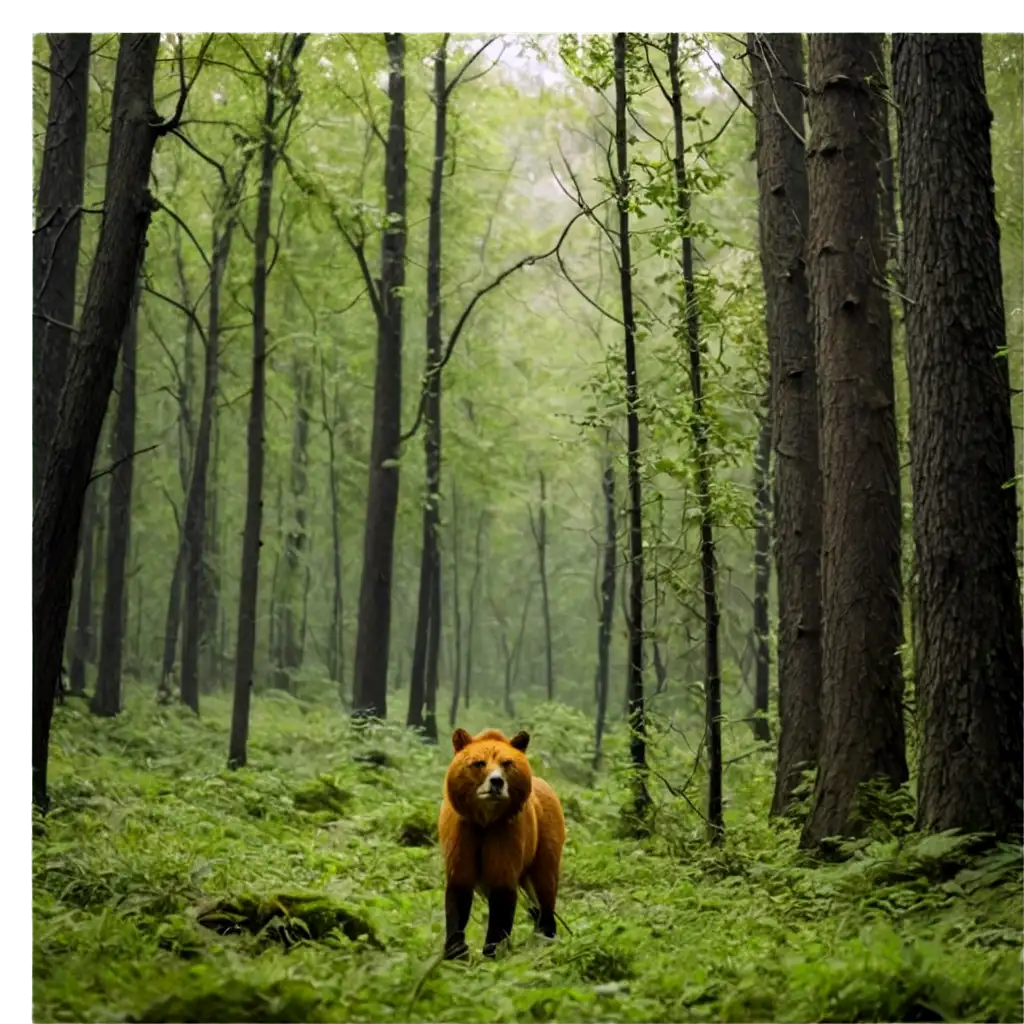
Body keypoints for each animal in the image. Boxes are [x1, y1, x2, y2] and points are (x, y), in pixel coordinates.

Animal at [440, 729, 569, 958]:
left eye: (507, 763)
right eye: (479, 763)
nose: (496, 782)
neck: (485, 821)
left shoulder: (505, 836)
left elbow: (502, 897)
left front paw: (493, 950)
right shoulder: (463, 835)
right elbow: (458, 893)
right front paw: (456, 951)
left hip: (544, 843)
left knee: (544, 892)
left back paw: (545, 937)